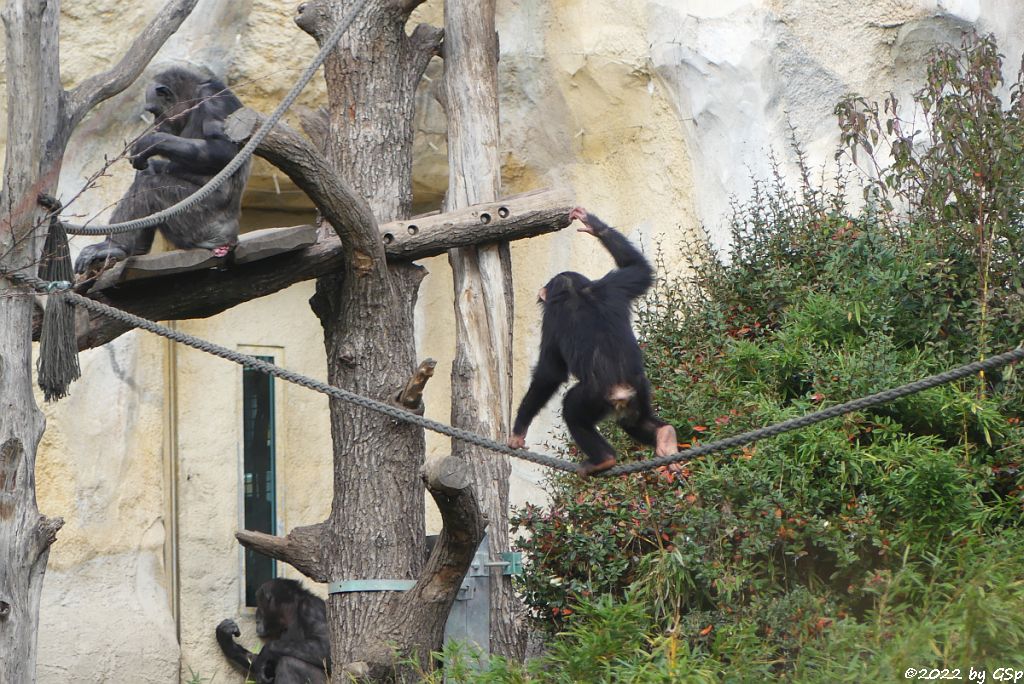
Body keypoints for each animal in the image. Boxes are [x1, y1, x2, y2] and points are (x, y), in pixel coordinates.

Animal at [74, 66, 251, 274]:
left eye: (154, 111)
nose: (156, 124)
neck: (193, 99)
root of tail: (229, 239)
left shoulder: (213, 101)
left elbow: (223, 150)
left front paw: (149, 143)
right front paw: (149, 162)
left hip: (198, 220)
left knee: (149, 186)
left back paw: (116, 246)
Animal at [505, 208, 679, 475]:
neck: (575, 291)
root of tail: (622, 389)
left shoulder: (552, 319)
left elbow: (549, 373)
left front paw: (518, 431)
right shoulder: (615, 284)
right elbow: (639, 269)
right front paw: (593, 225)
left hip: (593, 398)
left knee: (571, 410)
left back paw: (603, 459)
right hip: (641, 391)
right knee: (635, 422)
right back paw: (665, 437)